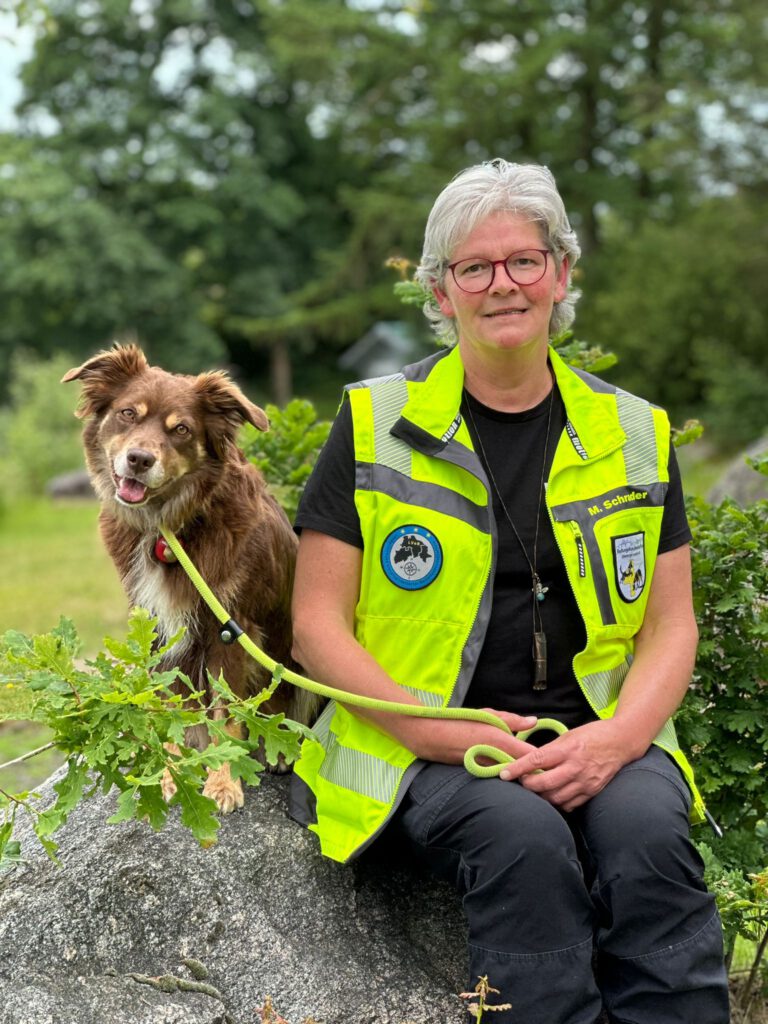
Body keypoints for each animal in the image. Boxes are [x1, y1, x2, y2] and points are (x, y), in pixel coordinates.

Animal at [64, 344, 319, 806]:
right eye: (127, 414)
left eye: (180, 429)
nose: (139, 459)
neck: (170, 526)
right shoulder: (163, 628)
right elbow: (173, 709)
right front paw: (170, 772)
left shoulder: (231, 630)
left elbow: (227, 712)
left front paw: (222, 781)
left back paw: (278, 752)